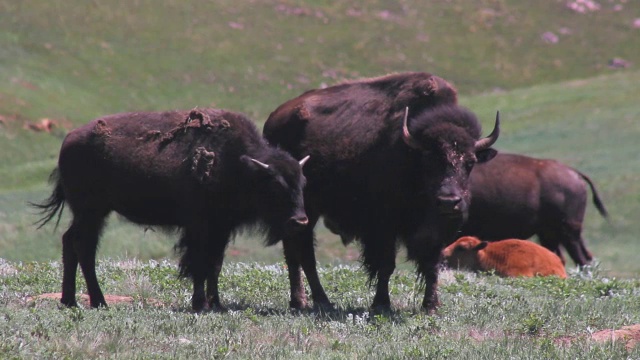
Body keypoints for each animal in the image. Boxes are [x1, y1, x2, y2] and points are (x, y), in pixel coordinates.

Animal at [33, 107, 310, 312]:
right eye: (275, 185)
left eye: (302, 182)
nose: (300, 221)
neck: (238, 165)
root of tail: (68, 141)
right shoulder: (199, 228)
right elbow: (199, 264)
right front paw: (200, 304)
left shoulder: (221, 229)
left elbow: (215, 265)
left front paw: (216, 304)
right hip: (91, 212)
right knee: (84, 247)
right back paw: (98, 302)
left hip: (90, 214)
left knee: (71, 242)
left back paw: (70, 300)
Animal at [264, 72, 500, 312]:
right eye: (429, 159)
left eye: (470, 162)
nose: (448, 201)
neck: (411, 155)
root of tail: (274, 119)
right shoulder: (384, 227)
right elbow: (386, 265)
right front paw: (381, 304)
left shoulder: (436, 232)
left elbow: (432, 265)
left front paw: (431, 306)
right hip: (307, 211)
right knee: (304, 254)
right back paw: (322, 301)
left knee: (293, 253)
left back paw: (299, 302)